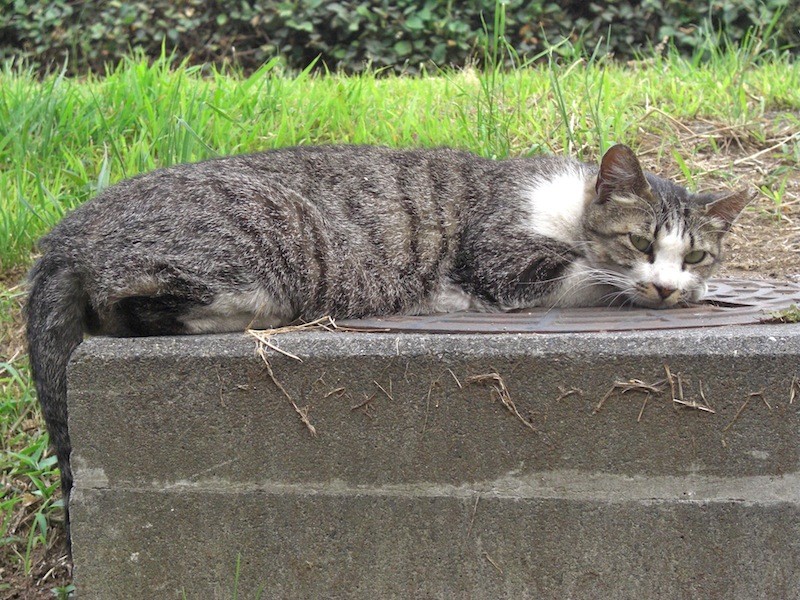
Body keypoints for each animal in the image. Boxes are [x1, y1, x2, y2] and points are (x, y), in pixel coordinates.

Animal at [26, 142, 752, 540]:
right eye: (639, 242)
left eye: (695, 255)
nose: (668, 288)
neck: (568, 209)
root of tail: (68, 229)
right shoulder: (506, 264)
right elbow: (589, 277)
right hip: (282, 238)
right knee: (132, 305)